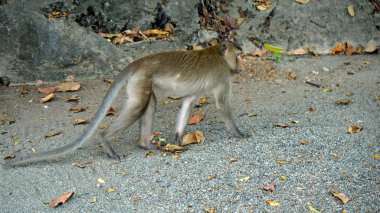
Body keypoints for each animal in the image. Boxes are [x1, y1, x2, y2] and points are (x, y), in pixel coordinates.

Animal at [5, 40, 249, 166]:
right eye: (238, 56)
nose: (241, 66)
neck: (218, 54)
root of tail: (137, 63)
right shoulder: (222, 75)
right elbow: (222, 105)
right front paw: (239, 134)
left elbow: (188, 103)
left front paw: (178, 141)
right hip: (141, 80)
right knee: (139, 106)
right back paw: (106, 140)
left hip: (141, 82)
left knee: (149, 104)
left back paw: (145, 144)